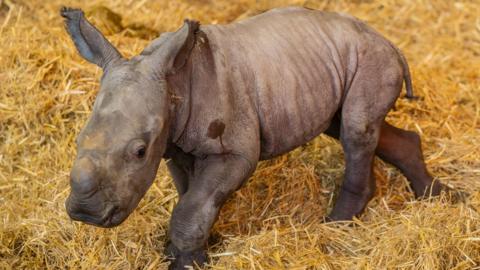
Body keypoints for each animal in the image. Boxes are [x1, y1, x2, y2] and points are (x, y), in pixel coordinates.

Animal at [62, 6, 444, 270]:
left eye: (140, 151)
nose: (85, 213)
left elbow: (190, 208)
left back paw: (337, 224)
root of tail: (391, 43)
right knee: (355, 127)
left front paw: (187, 263)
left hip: (370, 58)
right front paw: (185, 252)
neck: (173, 83)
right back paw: (437, 197)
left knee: (355, 131)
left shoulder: (234, 152)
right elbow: (191, 199)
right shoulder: (175, 146)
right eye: (77, 141)